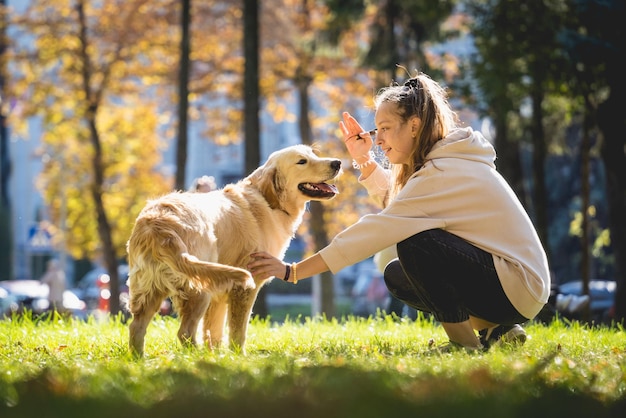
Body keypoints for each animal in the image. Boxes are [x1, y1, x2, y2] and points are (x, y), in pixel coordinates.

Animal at [127, 145, 342, 356]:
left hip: (151, 289)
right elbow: (238, 332)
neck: (268, 201)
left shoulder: (220, 293)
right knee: (185, 332)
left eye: (313, 153)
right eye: (301, 161)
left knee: (136, 327)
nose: (337, 163)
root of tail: (158, 223)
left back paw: (140, 359)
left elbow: (214, 333)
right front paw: (239, 357)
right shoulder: (243, 288)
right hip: (200, 288)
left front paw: (218, 357)